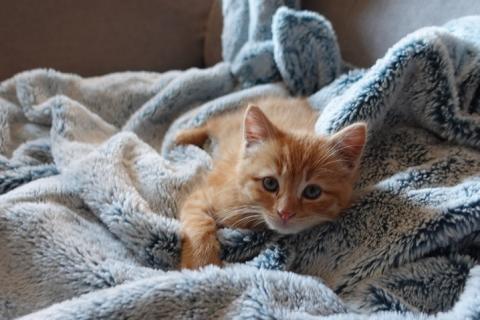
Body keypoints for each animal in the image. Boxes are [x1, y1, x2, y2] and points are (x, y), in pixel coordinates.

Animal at [176, 96, 368, 268]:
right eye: (270, 183)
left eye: (312, 191)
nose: (285, 213)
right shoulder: (206, 194)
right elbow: (199, 222)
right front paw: (201, 261)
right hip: (228, 125)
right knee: (213, 122)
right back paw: (182, 136)